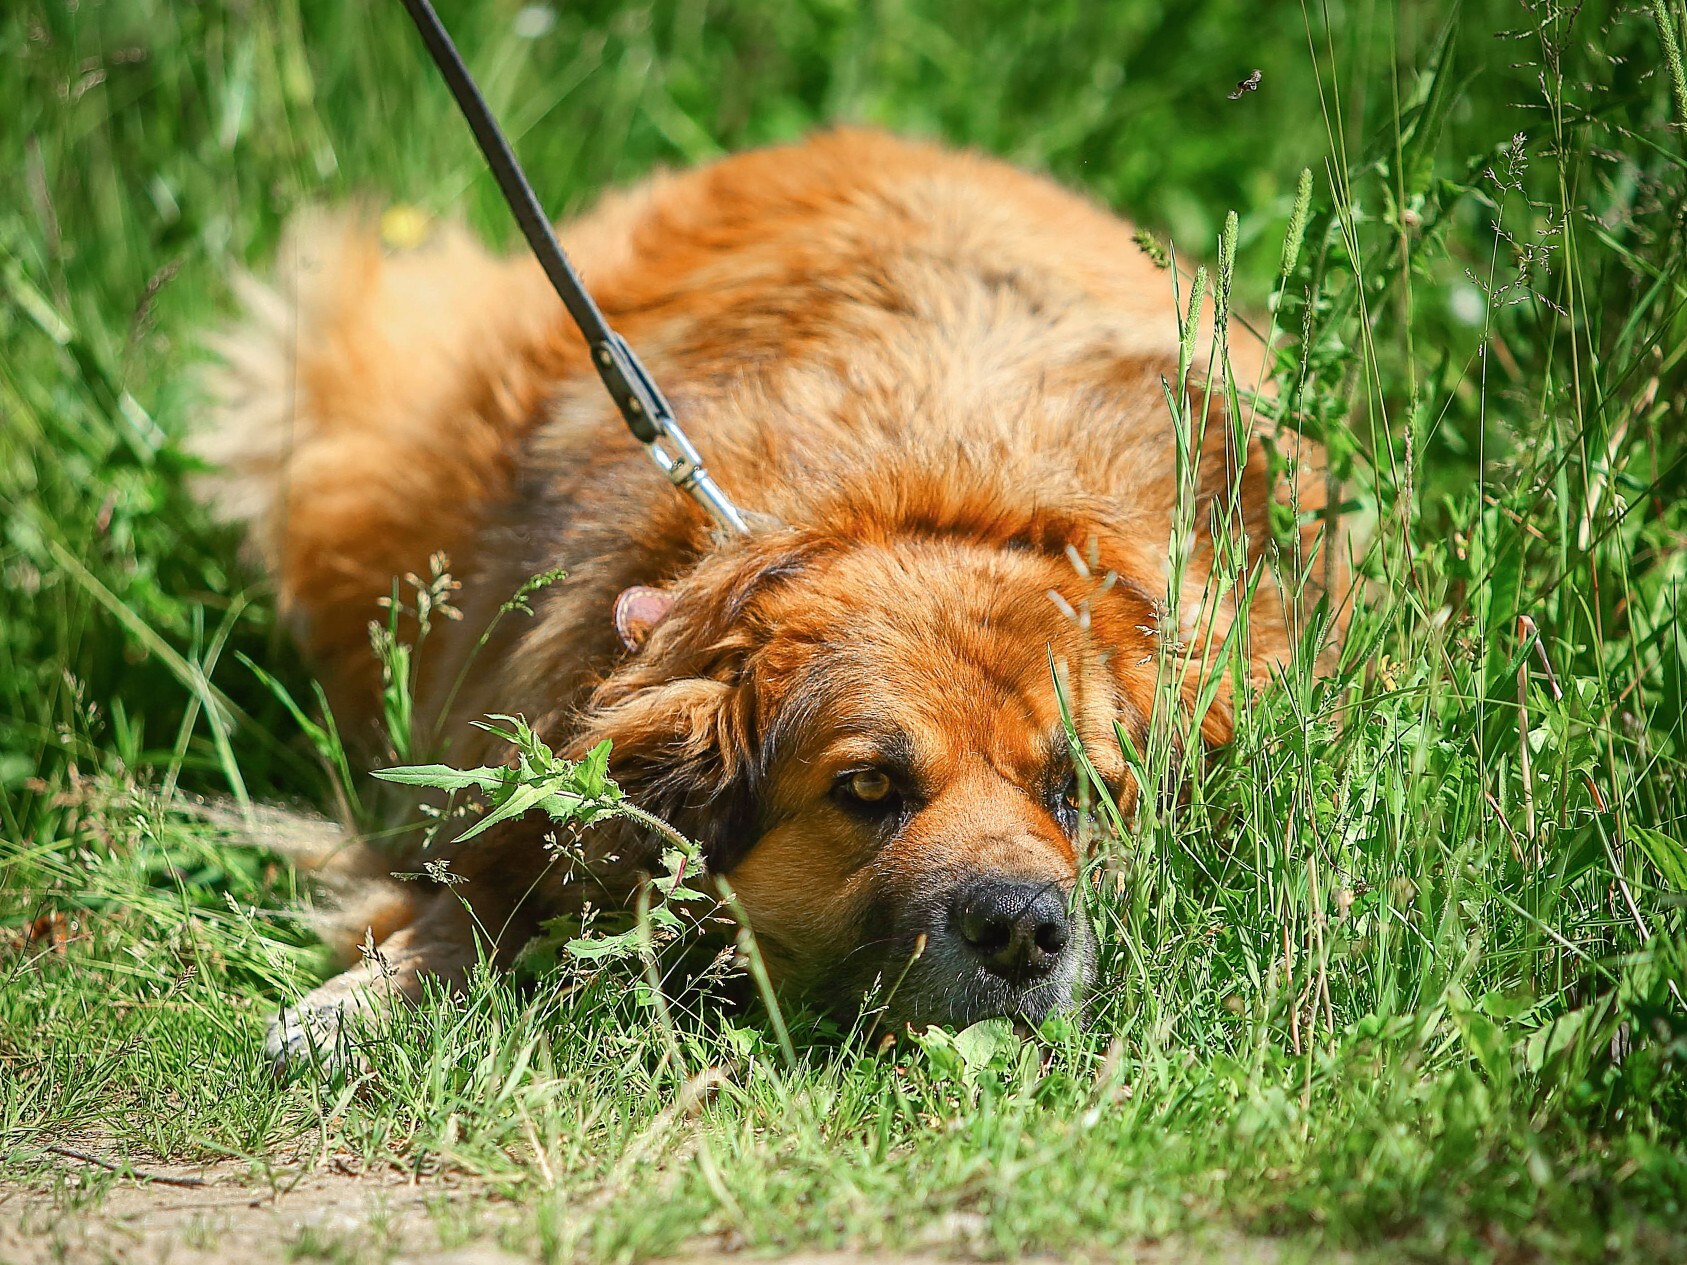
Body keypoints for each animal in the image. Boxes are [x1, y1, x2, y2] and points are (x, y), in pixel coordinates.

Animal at [191, 131, 1342, 1072]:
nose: (1022, 928)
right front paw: (363, 997)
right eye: (868, 787)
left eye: (1080, 792)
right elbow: (486, 887)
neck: (921, 484)